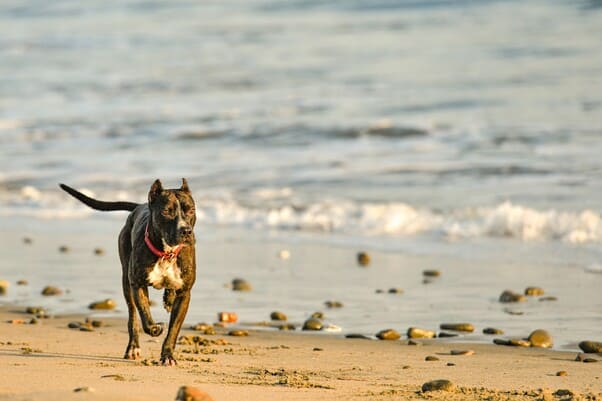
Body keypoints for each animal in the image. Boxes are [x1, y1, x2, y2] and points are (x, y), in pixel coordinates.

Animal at [58, 179, 196, 366]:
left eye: (191, 210)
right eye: (167, 211)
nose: (186, 231)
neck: (166, 253)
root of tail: (139, 206)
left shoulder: (184, 293)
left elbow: (174, 329)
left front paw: (167, 356)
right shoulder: (137, 284)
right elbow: (144, 316)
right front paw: (155, 329)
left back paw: (168, 298)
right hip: (126, 282)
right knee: (133, 317)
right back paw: (133, 348)